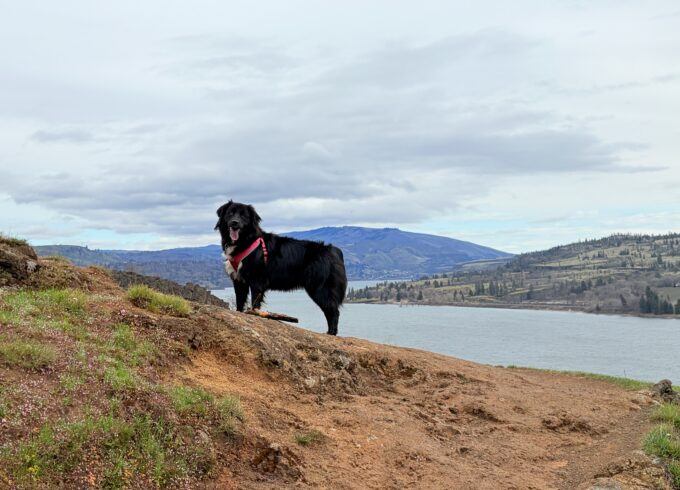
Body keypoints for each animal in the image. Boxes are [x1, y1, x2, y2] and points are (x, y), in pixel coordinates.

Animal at [214, 200, 347, 335]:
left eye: (243, 215)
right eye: (230, 213)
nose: (234, 223)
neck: (245, 241)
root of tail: (333, 250)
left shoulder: (257, 281)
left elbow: (254, 304)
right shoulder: (239, 280)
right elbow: (239, 302)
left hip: (320, 288)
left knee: (333, 311)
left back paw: (331, 333)